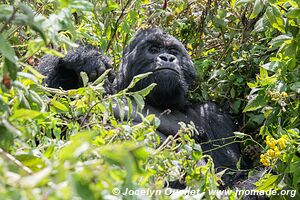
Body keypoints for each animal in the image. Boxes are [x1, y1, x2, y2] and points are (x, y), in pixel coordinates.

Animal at [38, 27, 241, 173]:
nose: (168, 57)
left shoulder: (215, 115)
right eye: (154, 49)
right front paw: (85, 56)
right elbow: (45, 124)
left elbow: (230, 173)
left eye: (173, 51)